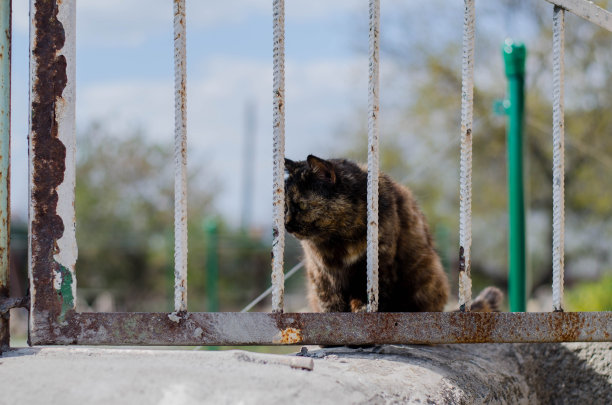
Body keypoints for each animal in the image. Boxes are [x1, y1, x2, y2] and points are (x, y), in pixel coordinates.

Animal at [284, 155, 500, 312]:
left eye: (300, 205)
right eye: (284, 206)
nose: (286, 225)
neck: (339, 239)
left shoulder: (381, 260)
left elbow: (372, 291)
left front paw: (363, 309)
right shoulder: (321, 272)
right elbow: (329, 301)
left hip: (425, 272)